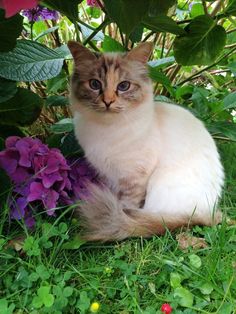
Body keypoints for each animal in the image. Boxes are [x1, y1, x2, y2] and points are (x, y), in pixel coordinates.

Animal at [67, 41, 224, 242]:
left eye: (123, 86)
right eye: (95, 84)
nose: (108, 102)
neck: (107, 129)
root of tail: (206, 213)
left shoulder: (134, 176)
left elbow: (126, 203)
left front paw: (121, 216)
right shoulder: (107, 173)